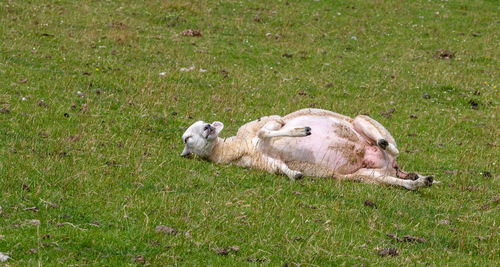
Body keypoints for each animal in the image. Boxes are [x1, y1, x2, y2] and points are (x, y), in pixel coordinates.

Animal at [181, 109, 434, 191]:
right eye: (186, 138)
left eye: (205, 125)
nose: (208, 127)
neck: (238, 146)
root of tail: (392, 166)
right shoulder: (265, 162)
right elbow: (281, 168)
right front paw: (296, 174)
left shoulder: (273, 120)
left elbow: (265, 132)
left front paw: (301, 131)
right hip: (364, 175)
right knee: (398, 181)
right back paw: (419, 181)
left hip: (363, 120)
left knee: (393, 147)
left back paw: (383, 144)